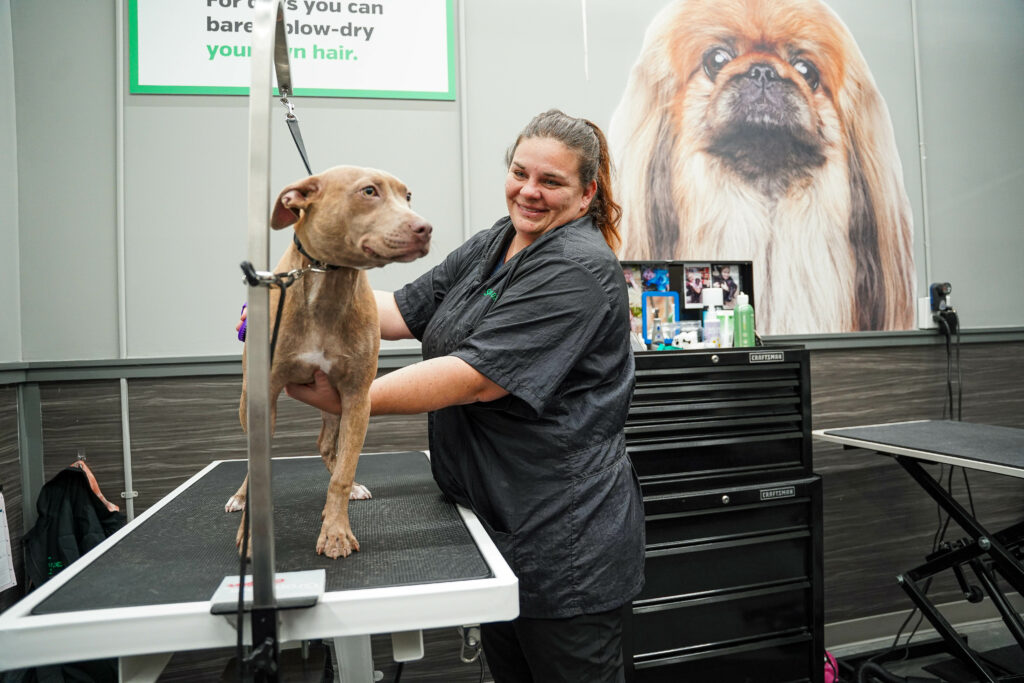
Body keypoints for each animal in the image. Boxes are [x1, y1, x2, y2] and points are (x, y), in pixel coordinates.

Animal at [228, 162, 432, 557]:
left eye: (408, 196)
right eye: (369, 191)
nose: (425, 228)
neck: (328, 280)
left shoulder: (357, 397)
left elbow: (343, 472)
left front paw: (335, 531)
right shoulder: (266, 394)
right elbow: (258, 466)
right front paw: (252, 536)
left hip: (335, 404)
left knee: (327, 446)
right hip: (247, 400)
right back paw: (242, 495)